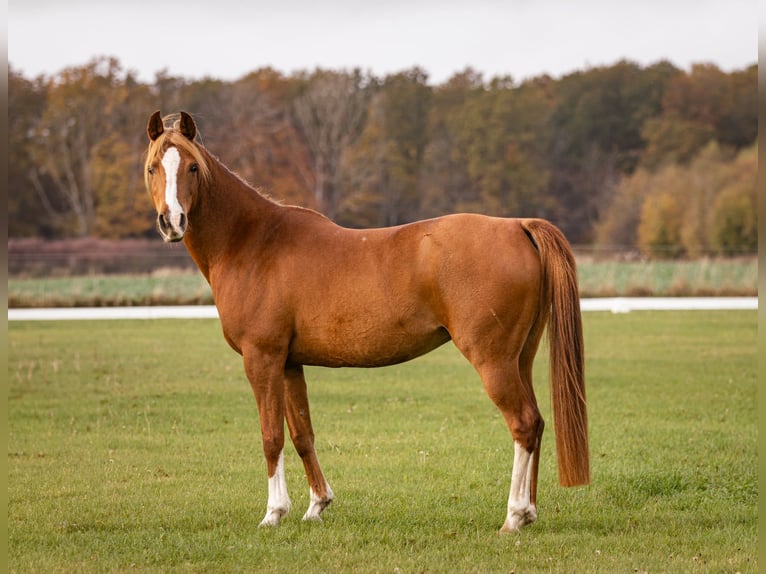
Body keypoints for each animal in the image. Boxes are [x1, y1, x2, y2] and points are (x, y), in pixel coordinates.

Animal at [143, 110, 589, 532]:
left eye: (193, 167)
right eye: (152, 168)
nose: (172, 222)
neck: (252, 242)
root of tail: (517, 226)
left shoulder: (262, 358)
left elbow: (271, 436)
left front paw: (273, 513)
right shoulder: (289, 364)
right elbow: (302, 434)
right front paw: (316, 506)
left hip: (493, 361)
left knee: (523, 424)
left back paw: (513, 517)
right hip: (520, 360)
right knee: (537, 422)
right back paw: (529, 512)